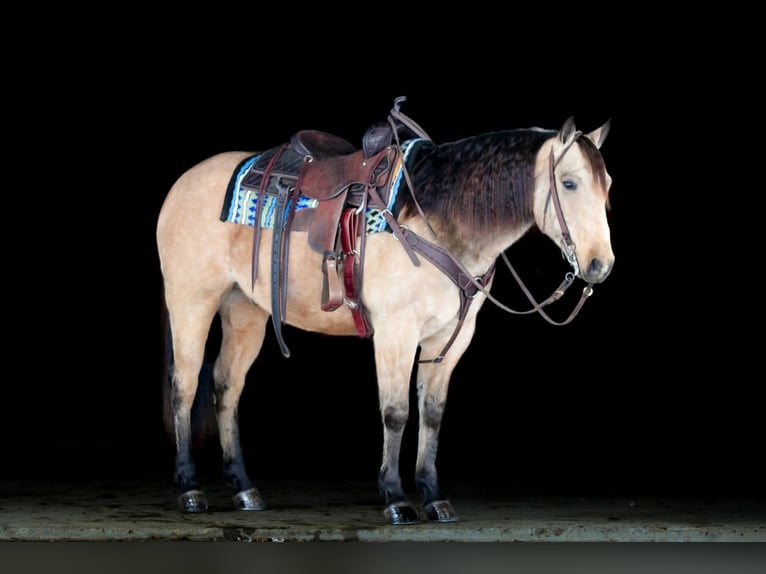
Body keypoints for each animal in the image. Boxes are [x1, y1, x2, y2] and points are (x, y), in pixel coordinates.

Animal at [156, 99, 614, 525]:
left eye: (607, 184)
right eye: (569, 183)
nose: (600, 264)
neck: (438, 217)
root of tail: (182, 183)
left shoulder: (451, 338)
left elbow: (432, 413)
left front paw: (433, 496)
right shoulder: (397, 332)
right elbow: (396, 413)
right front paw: (396, 498)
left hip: (245, 310)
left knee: (226, 385)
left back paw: (243, 487)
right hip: (191, 302)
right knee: (185, 386)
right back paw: (190, 489)